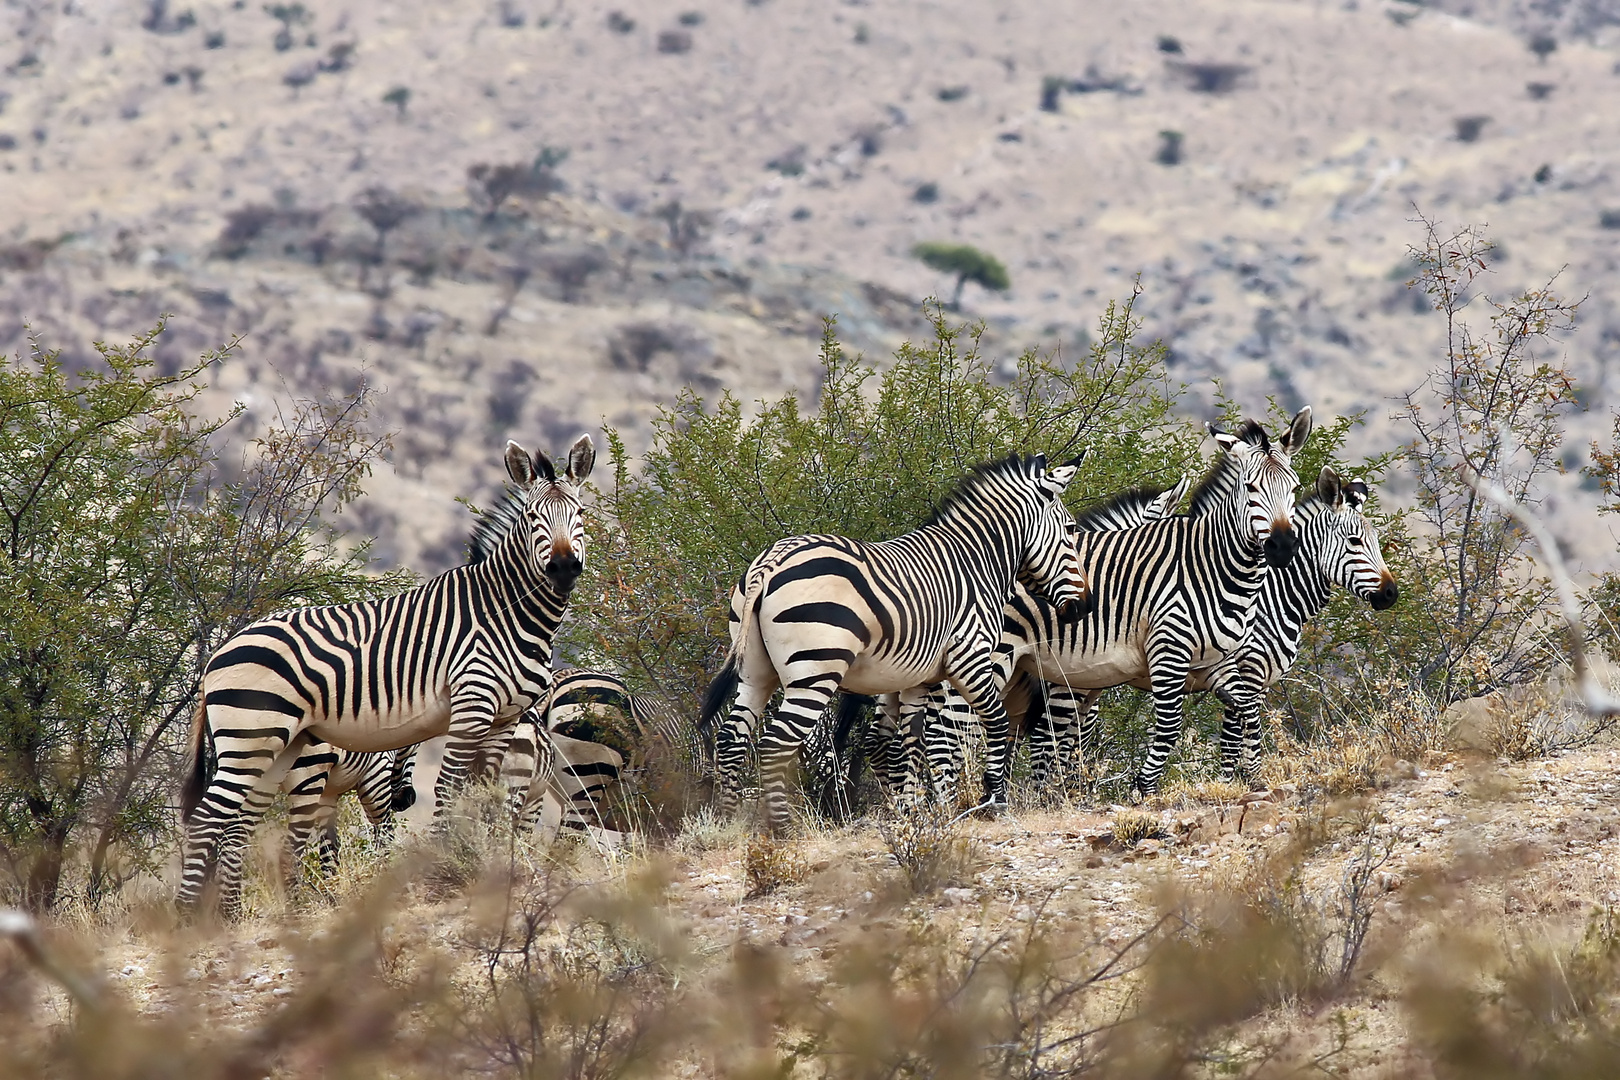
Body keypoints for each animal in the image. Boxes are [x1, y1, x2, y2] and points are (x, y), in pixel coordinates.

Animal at [179, 433, 596, 919]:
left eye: (580, 514)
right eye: (533, 519)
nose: (564, 568)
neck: (505, 610)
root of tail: (219, 654)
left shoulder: (505, 718)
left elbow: (485, 795)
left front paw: (491, 867)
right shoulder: (471, 705)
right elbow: (448, 788)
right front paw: (445, 871)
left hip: (279, 748)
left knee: (236, 825)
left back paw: (231, 918)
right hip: (252, 738)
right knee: (207, 820)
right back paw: (187, 917)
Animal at [699, 453, 1088, 835]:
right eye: (1070, 530)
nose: (1085, 606)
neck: (976, 562)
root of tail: (771, 561)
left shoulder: (918, 678)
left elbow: (911, 743)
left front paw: (915, 812)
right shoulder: (970, 657)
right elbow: (994, 722)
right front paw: (994, 799)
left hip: (755, 672)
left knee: (731, 738)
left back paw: (728, 824)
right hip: (815, 671)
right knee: (775, 744)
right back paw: (783, 829)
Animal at [1056, 466, 1399, 786]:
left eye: (1376, 541)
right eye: (1354, 541)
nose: (1390, 594)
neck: (1273, 595)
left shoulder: (1254, 681)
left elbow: (1245, 733)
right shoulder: (1246, 670)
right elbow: (1233, 740)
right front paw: (1233, 784)